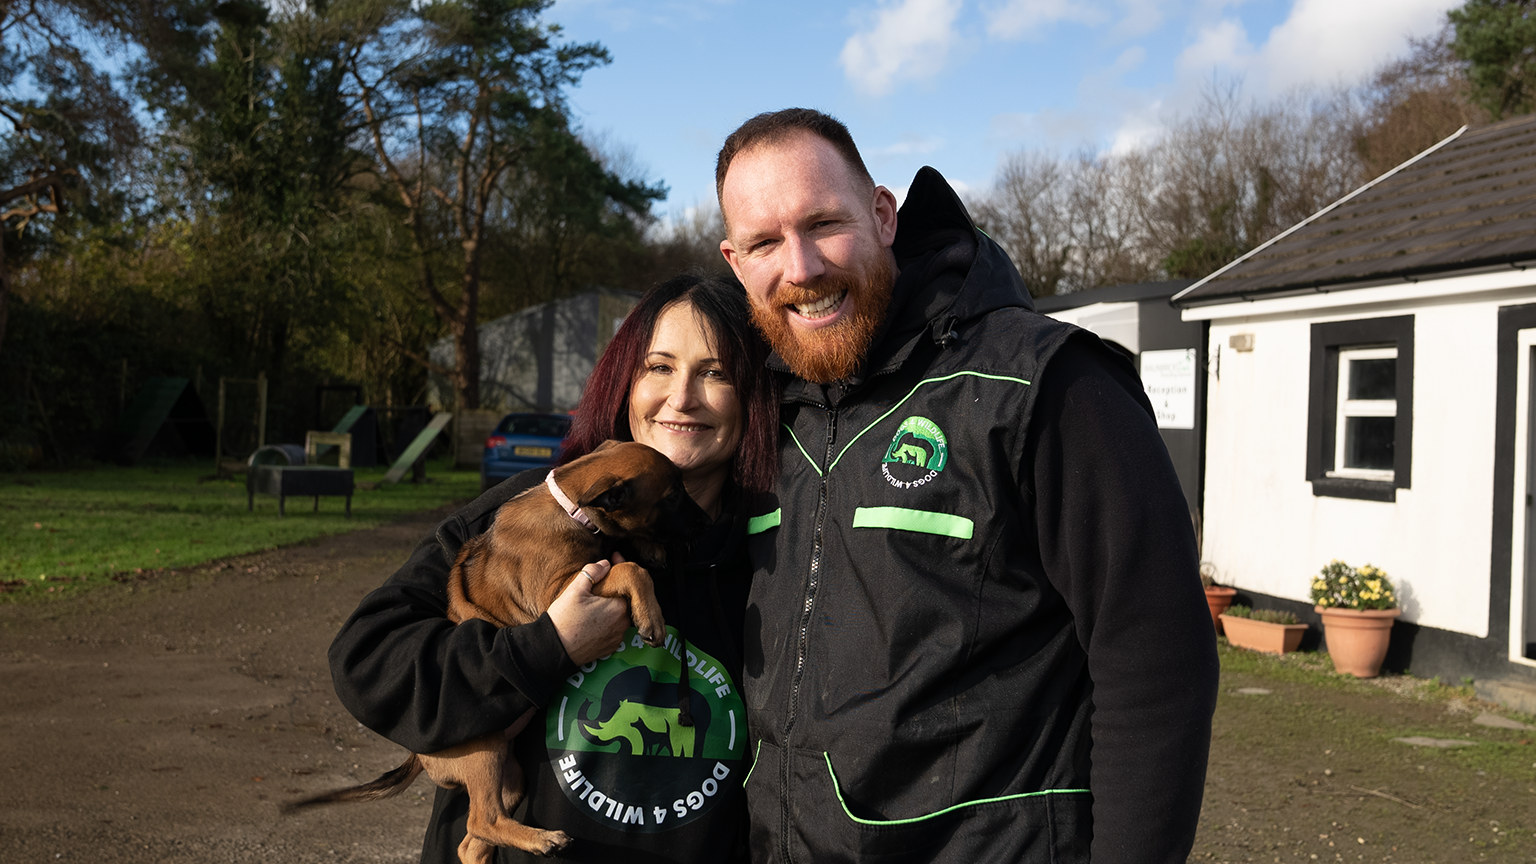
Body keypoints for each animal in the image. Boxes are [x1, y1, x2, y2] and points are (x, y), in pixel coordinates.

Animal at [285, 439, 703, 854]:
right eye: (672, 495)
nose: (706, 522)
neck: (570, 507)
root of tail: (418, 752)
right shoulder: (560, 592)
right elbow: (628, 569)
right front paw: (652, 615)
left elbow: (629, 557)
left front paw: (650, 549)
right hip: (484, 748)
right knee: (482, 820)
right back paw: (543, 839)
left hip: (510, 775)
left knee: (472, 840)